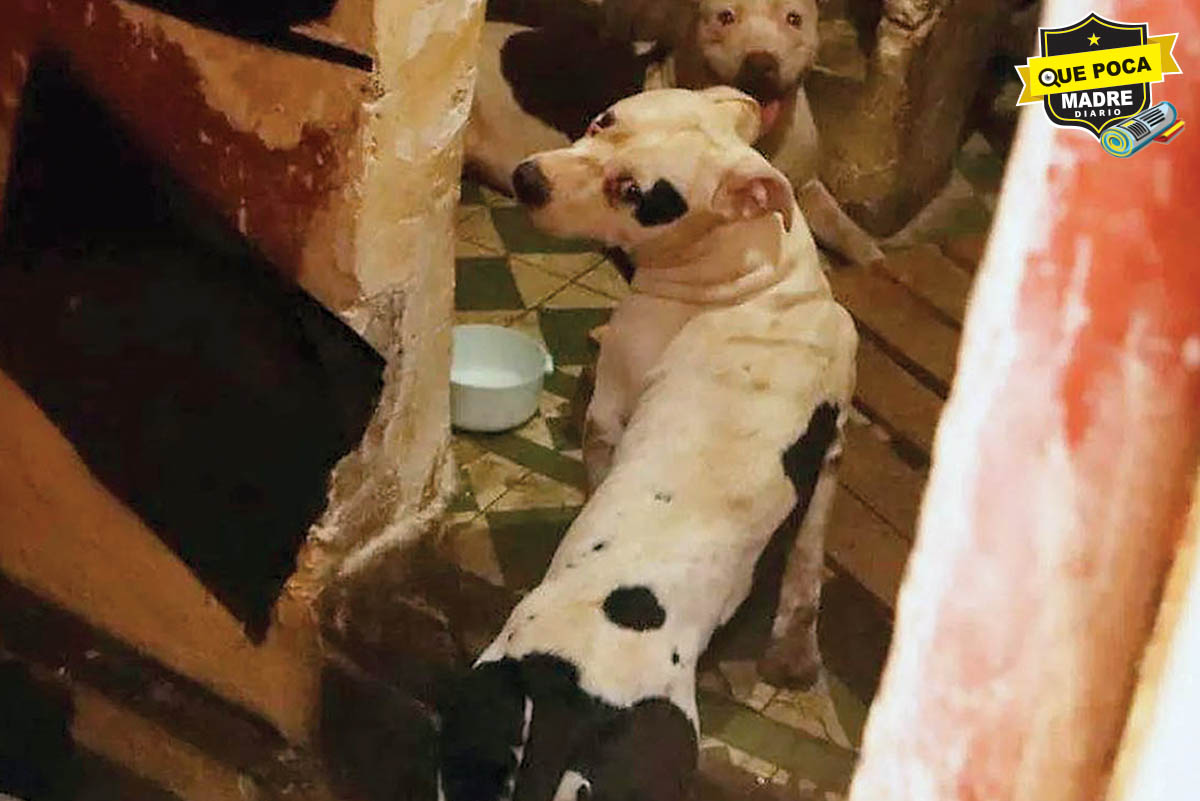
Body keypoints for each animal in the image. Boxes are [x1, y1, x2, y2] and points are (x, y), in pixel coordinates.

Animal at [438, 88, 857, 801]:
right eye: (604, 119)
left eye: (633, 192)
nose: (528, 178)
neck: (762, 282)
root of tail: (567, 703)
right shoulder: (829, 454)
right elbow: (807, 565)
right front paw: (797, 651)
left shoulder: (611, 404)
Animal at [465, 0, 884, 266]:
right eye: (725, 17)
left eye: (793, 19)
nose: (761, 63)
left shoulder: (807, 183)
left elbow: (845, 227)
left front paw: (871, 257)